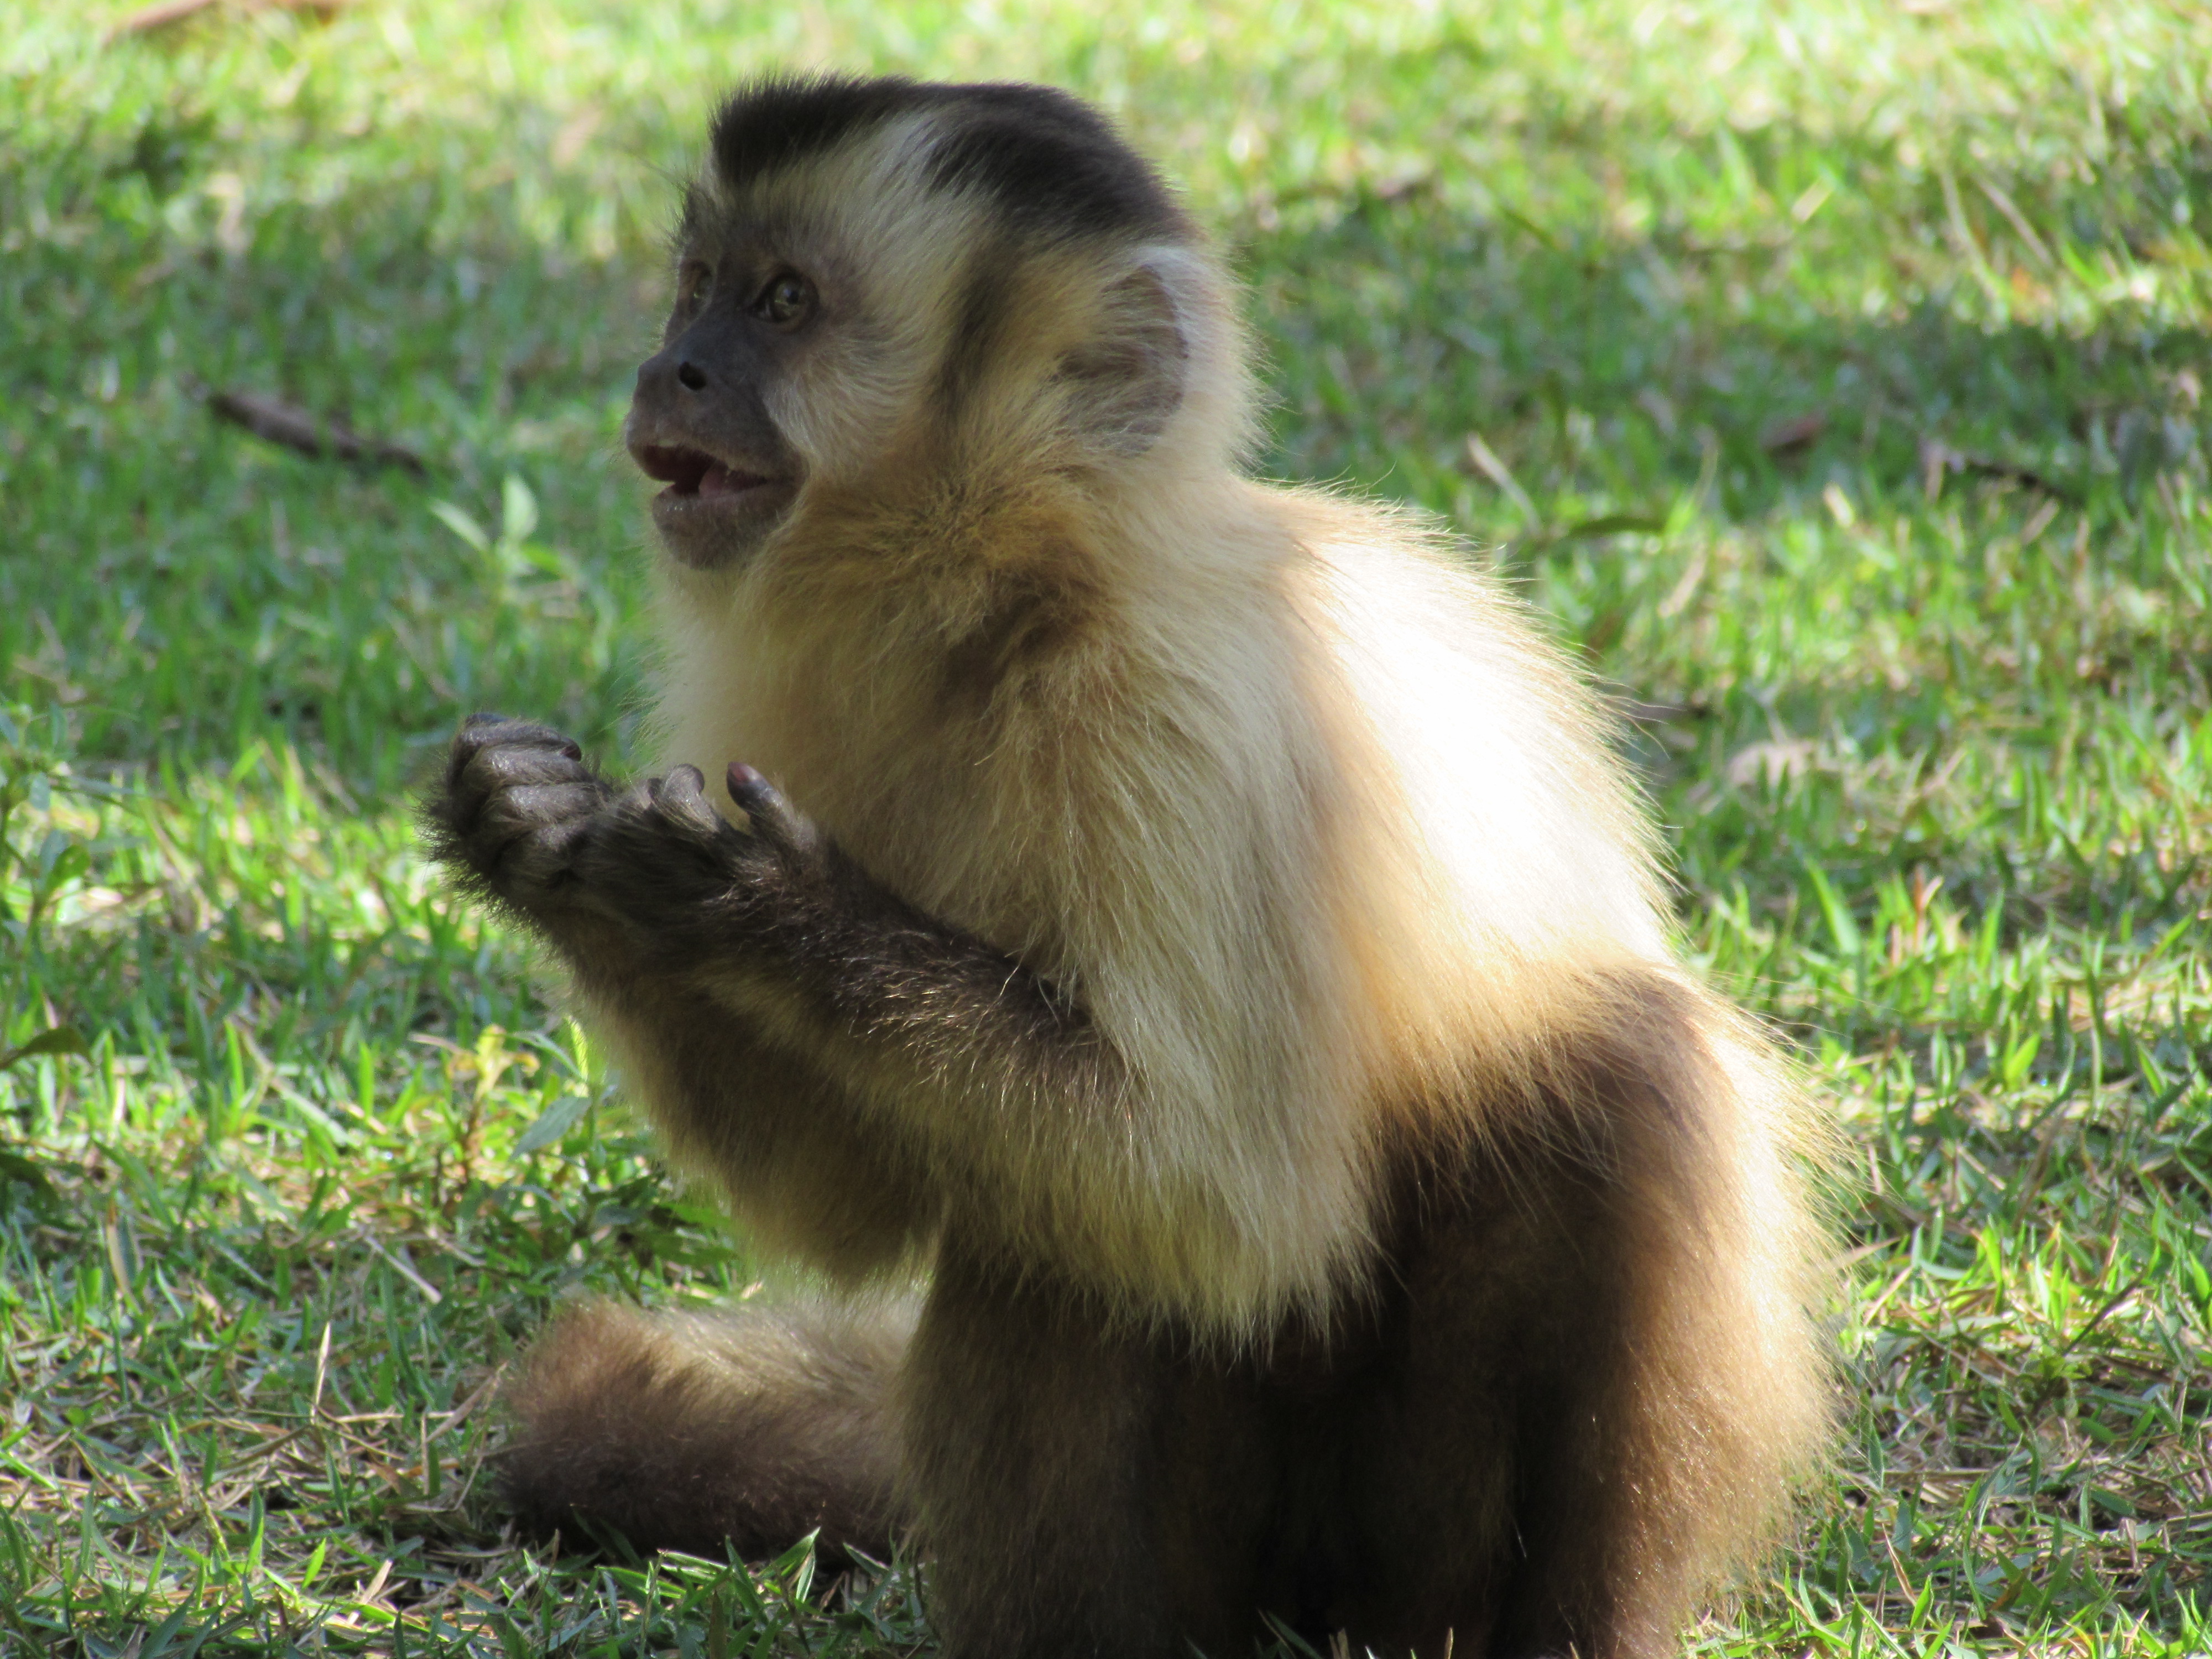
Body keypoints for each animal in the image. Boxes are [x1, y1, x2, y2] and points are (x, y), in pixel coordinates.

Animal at [418, 75, 1832, 1659]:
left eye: (784, 305)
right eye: (697, 287)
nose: (676, 367)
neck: (1008, 612)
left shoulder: (1186, 707)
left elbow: (1225, 1197)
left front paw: (769, 911)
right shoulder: (762, 702)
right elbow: (857, 1208)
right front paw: (540, 843)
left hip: (1411, 1547)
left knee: (1617, 1071)